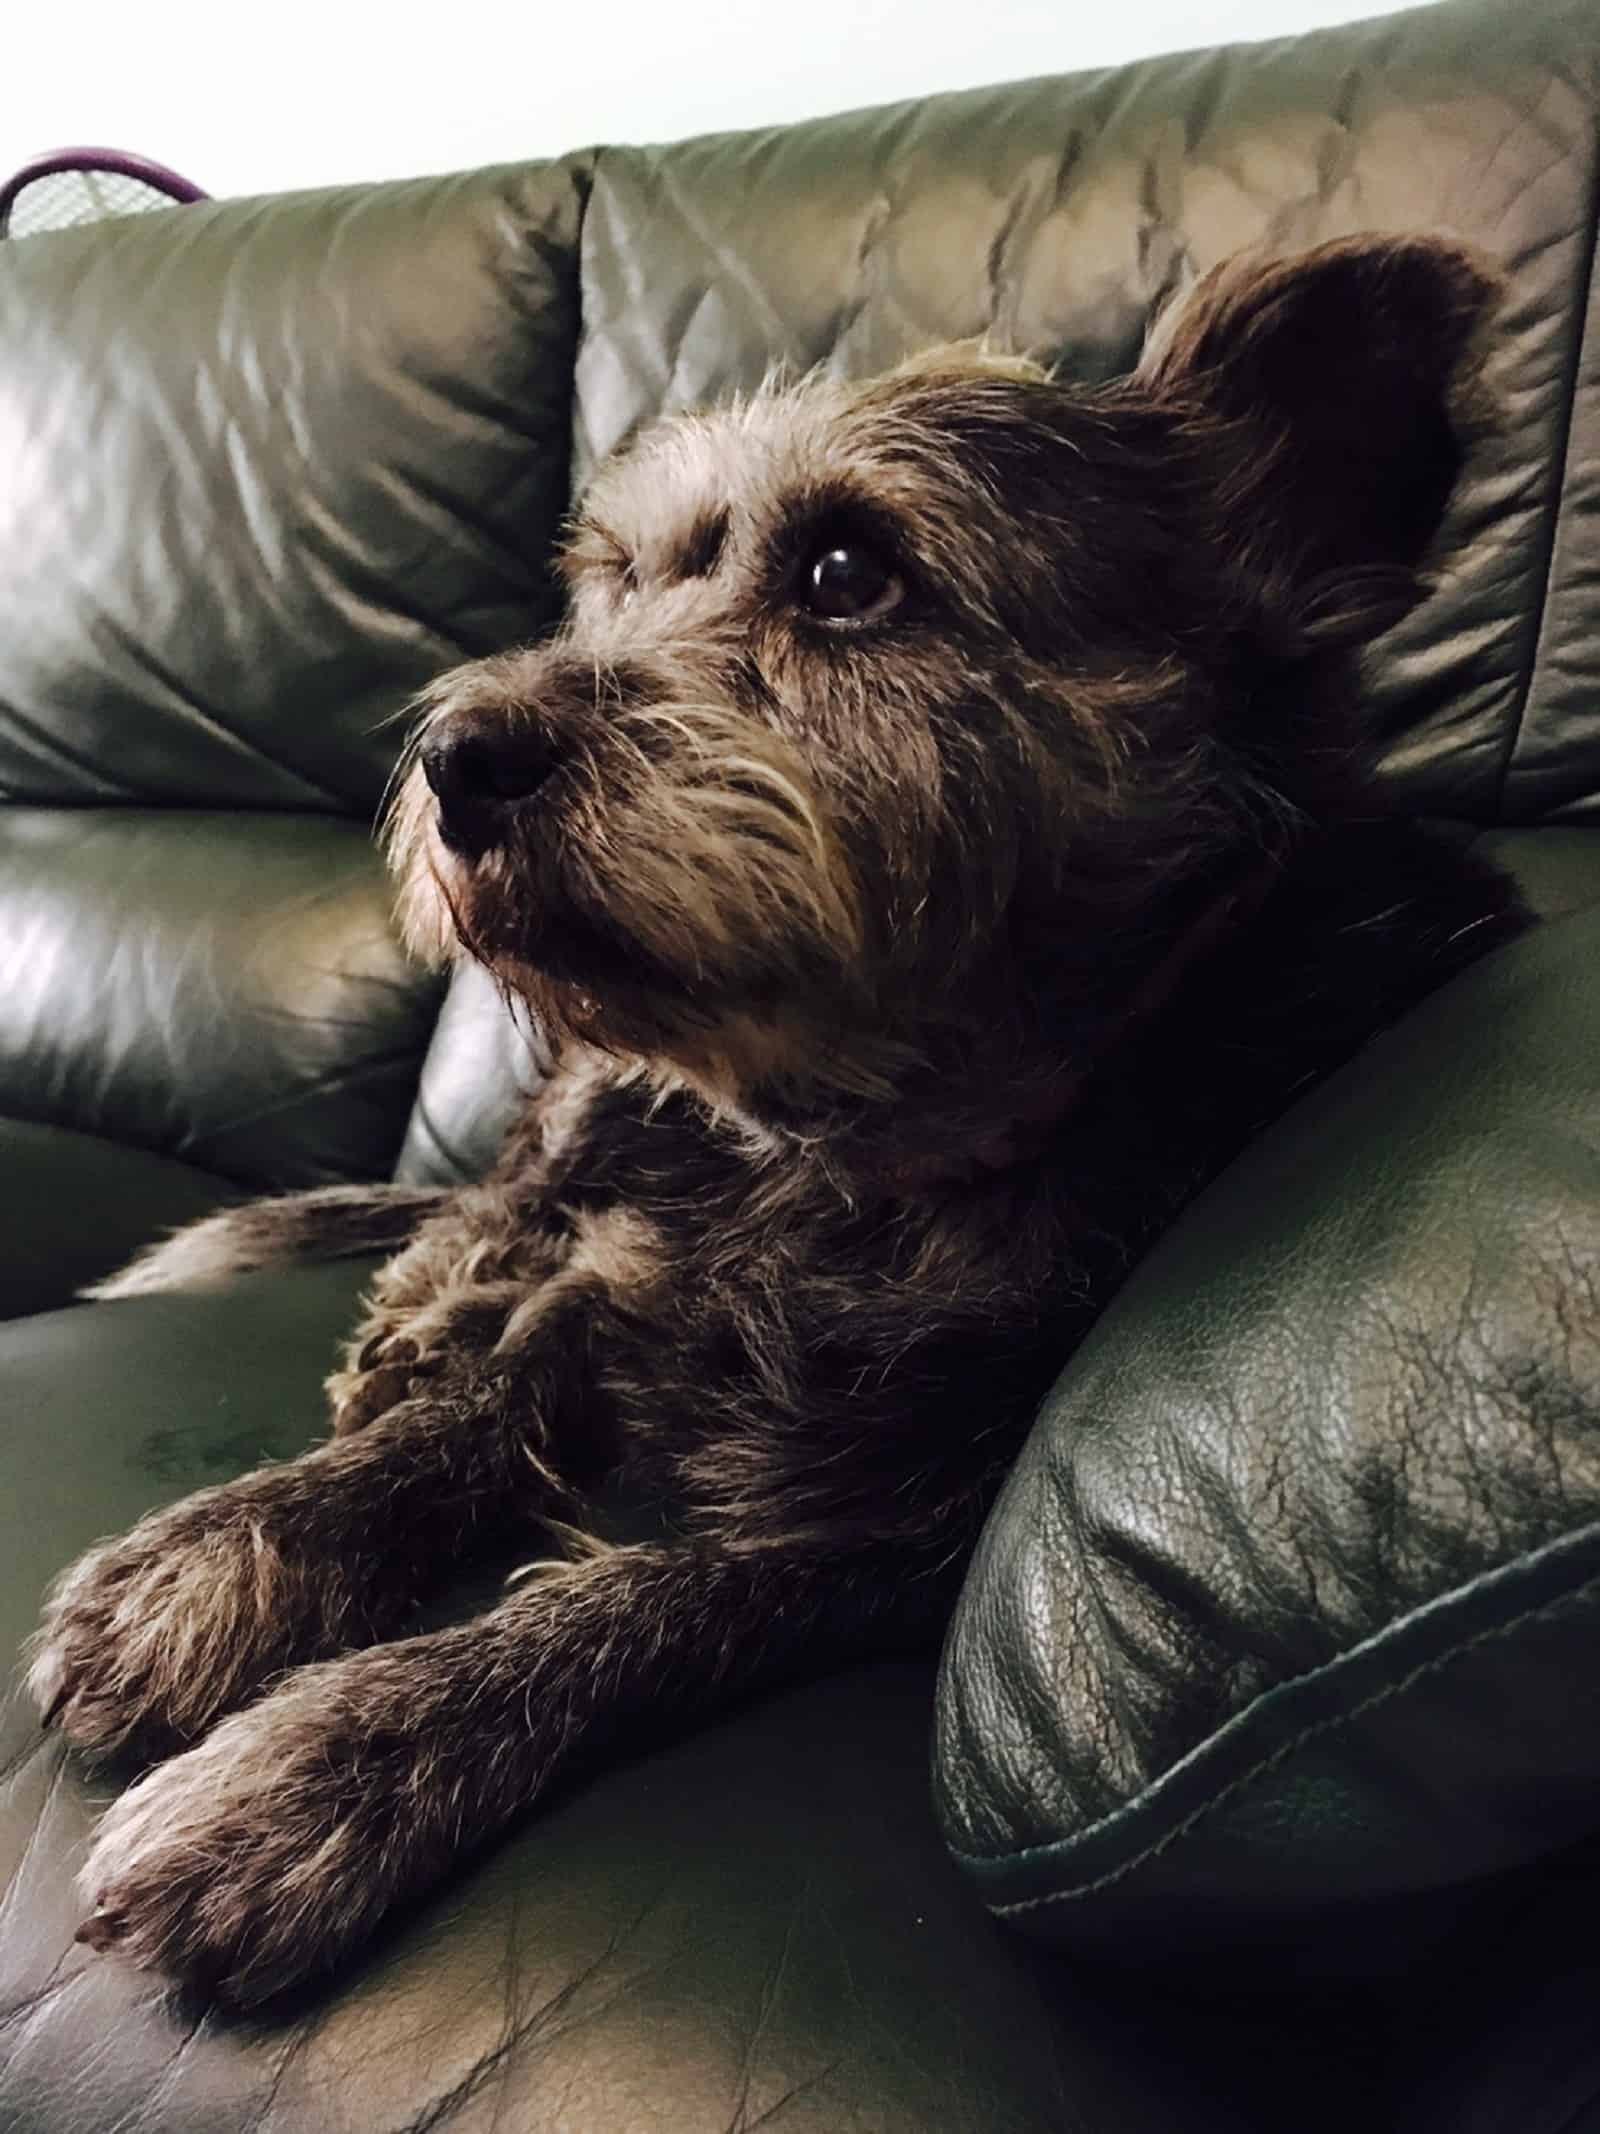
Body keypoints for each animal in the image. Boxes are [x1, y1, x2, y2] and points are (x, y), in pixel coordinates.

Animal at [28, 237, 1527, 2014]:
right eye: (620, 581)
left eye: (844, 570)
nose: (451, 755)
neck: (857, 1158)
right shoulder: (613, 1282)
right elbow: (472, 1408)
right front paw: (228, 1544)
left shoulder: (890, 1535)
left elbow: (632, 1603)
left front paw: (321, 1765)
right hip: (588, 1099)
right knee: (489, 1207)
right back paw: (421, 1309)